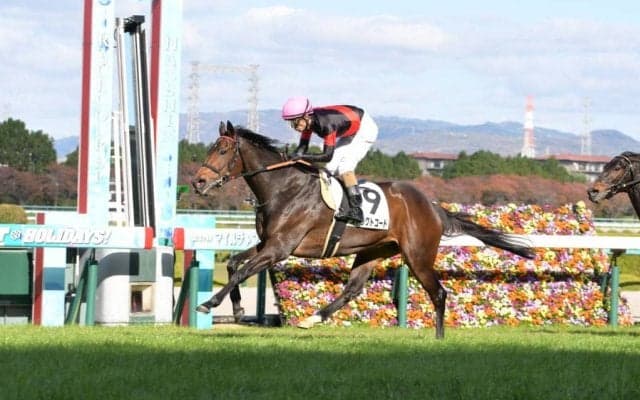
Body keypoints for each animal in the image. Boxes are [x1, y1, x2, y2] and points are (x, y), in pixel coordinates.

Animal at [191, 121, 535, 339]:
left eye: (222, 151)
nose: (198, 181)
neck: (283, 188)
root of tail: (432, 206)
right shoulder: (268, 244)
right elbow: (234, 264)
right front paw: (236, 309)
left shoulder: (281, 248)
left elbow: (242, 270)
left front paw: (209, 303)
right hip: (373, 250)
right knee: (353, 289)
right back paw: (312, 319)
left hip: (418, 255)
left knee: (438, 292)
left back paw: (439, 339)